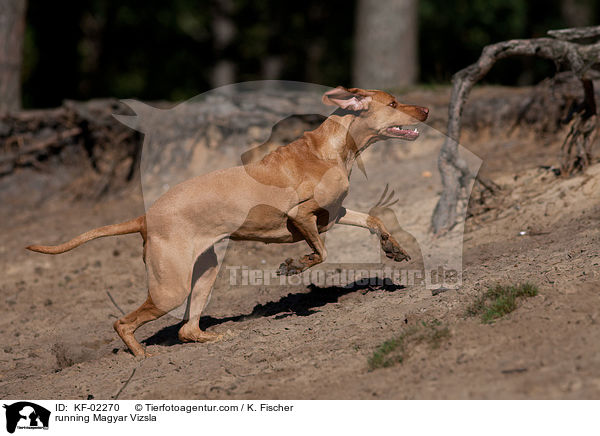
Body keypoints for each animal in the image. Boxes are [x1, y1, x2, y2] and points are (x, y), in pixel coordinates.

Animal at [27, 87, 426, 356]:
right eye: (393, 104)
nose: (424, 109)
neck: (332, 148)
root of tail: (146, 216)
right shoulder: (300, 215)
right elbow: (321, 253)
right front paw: (294, 266)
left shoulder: (335, 213)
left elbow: (373, 219)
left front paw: (393, 248)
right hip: (170, 288)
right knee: (123, 323)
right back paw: (141, 357)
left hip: (205, 272)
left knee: (187, 329)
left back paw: (213, 338)